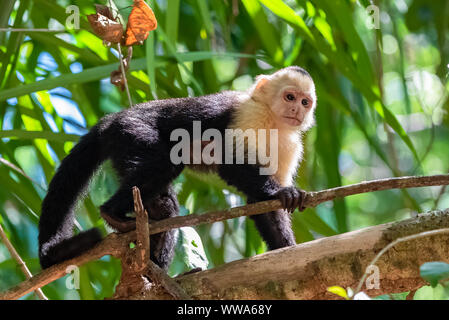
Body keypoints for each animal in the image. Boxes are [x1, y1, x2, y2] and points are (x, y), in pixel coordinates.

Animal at [39, 67, 316, 270]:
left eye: (305, 102)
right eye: (289, 97)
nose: (296, 110)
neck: (274, 121)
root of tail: (113, 118)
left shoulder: (290, 146)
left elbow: (260, 203)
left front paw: (286, 248)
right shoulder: (251, 115)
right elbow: (231, 165)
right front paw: (282, 193)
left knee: (165, 206)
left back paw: (155, 265)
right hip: (131, 132)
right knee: (166, 163)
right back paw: (112, 214)